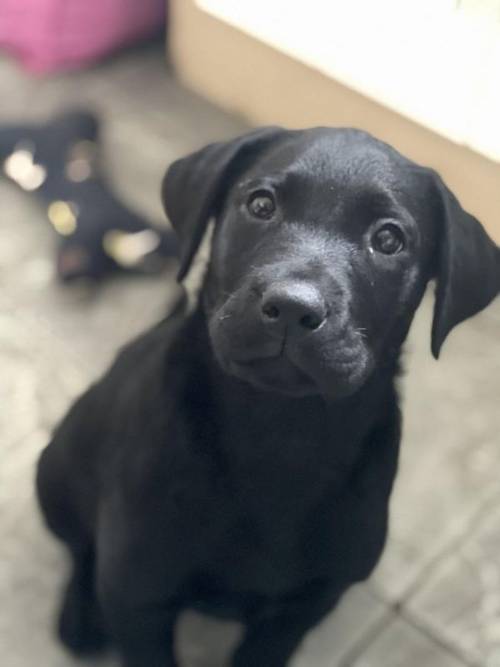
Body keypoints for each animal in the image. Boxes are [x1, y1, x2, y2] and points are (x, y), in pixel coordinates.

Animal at [36, 128, 500, 664]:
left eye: (388, 240)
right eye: (261, 205)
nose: (294, 308)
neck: (277, 433)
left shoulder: (301, 609)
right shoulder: (139, 595)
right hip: (56, 473)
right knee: (80, 546)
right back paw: (78, 613)